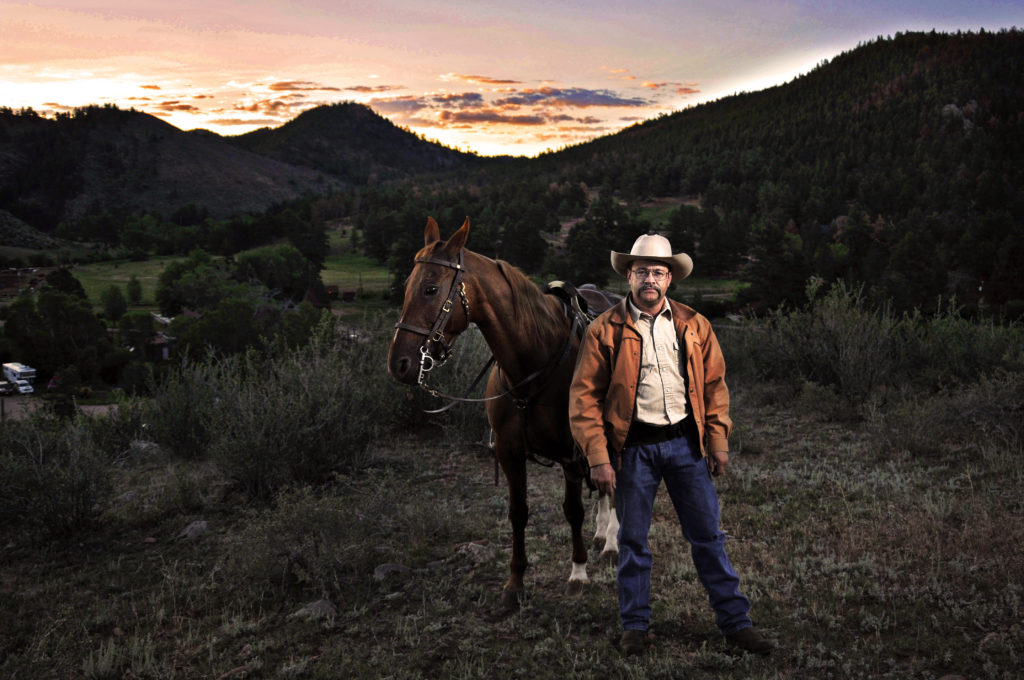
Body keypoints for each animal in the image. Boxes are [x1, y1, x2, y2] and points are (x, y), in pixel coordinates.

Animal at [387, 216, 618, 606]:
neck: (533, 362)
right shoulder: (510, 453)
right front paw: (515, 583)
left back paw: (613, 542)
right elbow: (518, 512)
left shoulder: (569, 456)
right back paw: (603, 533)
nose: (399, 363)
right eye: (407, 287)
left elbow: (572, 511)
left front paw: (578, 572)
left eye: (431, 289)